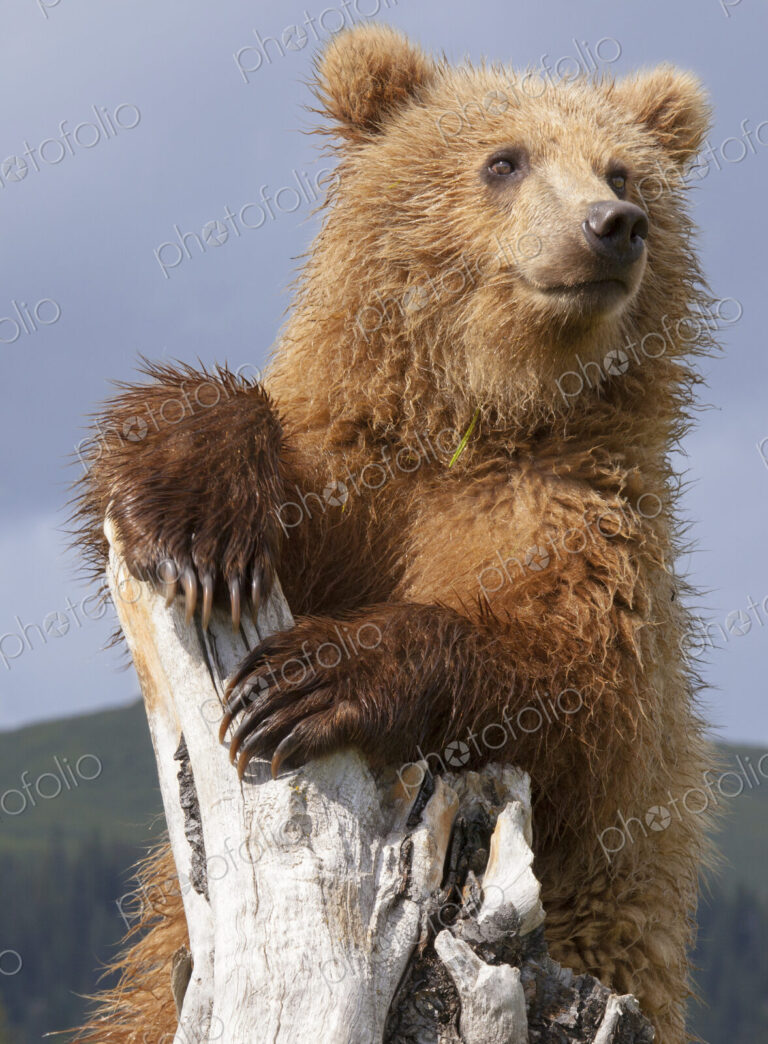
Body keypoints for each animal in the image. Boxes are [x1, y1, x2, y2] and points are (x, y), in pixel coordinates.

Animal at [74, 23, 719, 1044]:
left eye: (622, 169)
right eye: (504, 159)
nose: (613, 223)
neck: (488, 412)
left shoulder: (585, 528)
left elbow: (571, 680)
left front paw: (306, 680)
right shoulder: (360, 486)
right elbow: (211, 450)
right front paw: (196, 523)